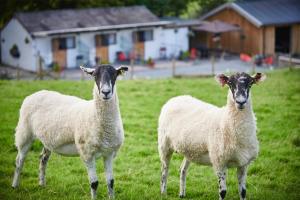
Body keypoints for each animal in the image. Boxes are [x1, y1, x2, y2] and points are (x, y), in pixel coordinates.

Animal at [12, 65, 127, 199]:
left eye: (115, 74)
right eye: (95, 75)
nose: (106, 92)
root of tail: (37, 93)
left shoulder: (109, 153)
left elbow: (111, 182)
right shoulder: (87, 153)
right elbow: (94, 183)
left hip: (47, 139)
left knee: (43, 159)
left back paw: (42, 184)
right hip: (25, 132)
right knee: (19, 161)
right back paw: (14, 185)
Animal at [158, 72, 266, 200]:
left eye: (250, 83)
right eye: (230, 83)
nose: (240, 102)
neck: (225, 122)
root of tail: (176, 98)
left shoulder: (244, 164)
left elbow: (243, 191)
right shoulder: (219, 161)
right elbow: (223, 192)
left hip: (190, 150)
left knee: (182, 169)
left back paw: (182, 194)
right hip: (164, 145)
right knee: (164, 170)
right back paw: (163, 193)